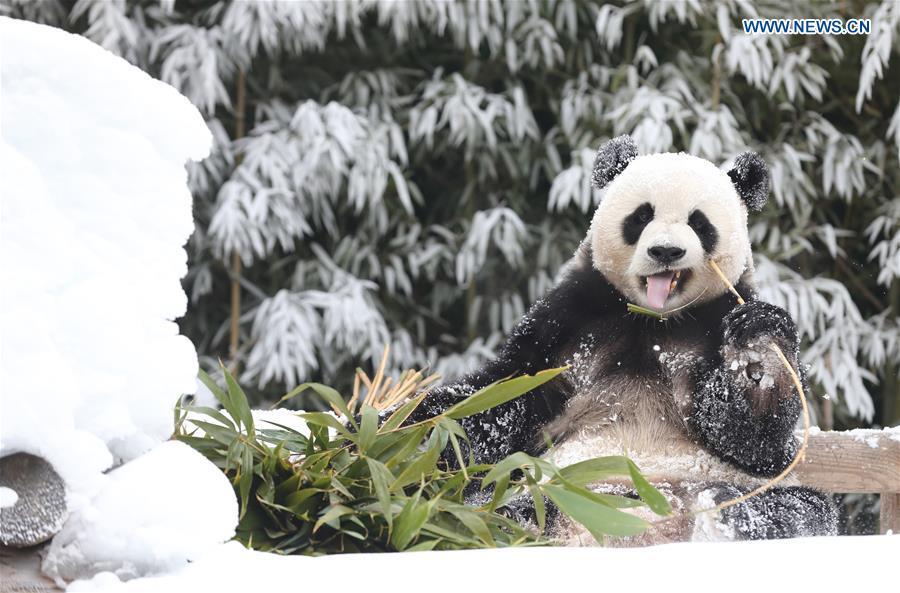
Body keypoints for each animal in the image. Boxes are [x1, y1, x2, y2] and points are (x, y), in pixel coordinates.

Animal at [408, 136, 836, 544]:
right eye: (642, 216)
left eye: (699, 223)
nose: (666, 251)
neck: (655, 319)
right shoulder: (571, 318)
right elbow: (504, 396)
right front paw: (415, 428)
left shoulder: (717, 317)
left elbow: (748, 438)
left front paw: (757, 355)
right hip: (538, 479)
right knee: (491, 504)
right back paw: (514, 519)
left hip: (746, 484)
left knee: (795, 508)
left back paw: (725, 515)